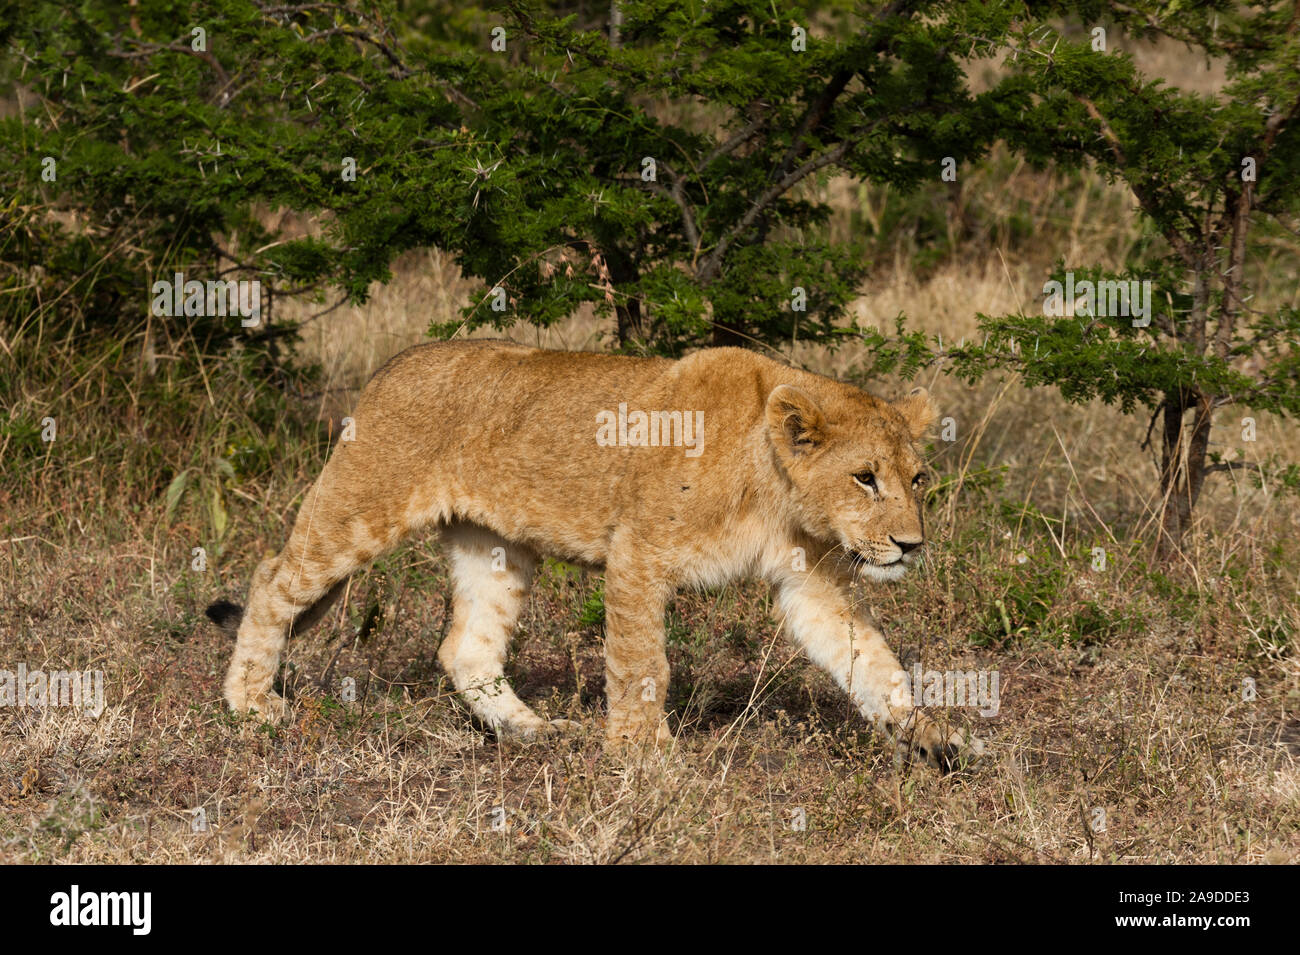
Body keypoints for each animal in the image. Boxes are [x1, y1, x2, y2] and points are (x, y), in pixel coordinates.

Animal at [206, 341, 984, 770]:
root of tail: (391, 365)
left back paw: (530, 731)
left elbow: (874, 663)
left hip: (496, 548)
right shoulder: (638, 553)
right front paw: (646, 755)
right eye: (864, 477)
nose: (911, 544)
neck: (774, 486)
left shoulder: (812, 583)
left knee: (465, 646)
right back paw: (251, 705)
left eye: (917, 479)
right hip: (360, 507)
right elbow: (643, 665)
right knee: (272, 580)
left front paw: (934, 740)